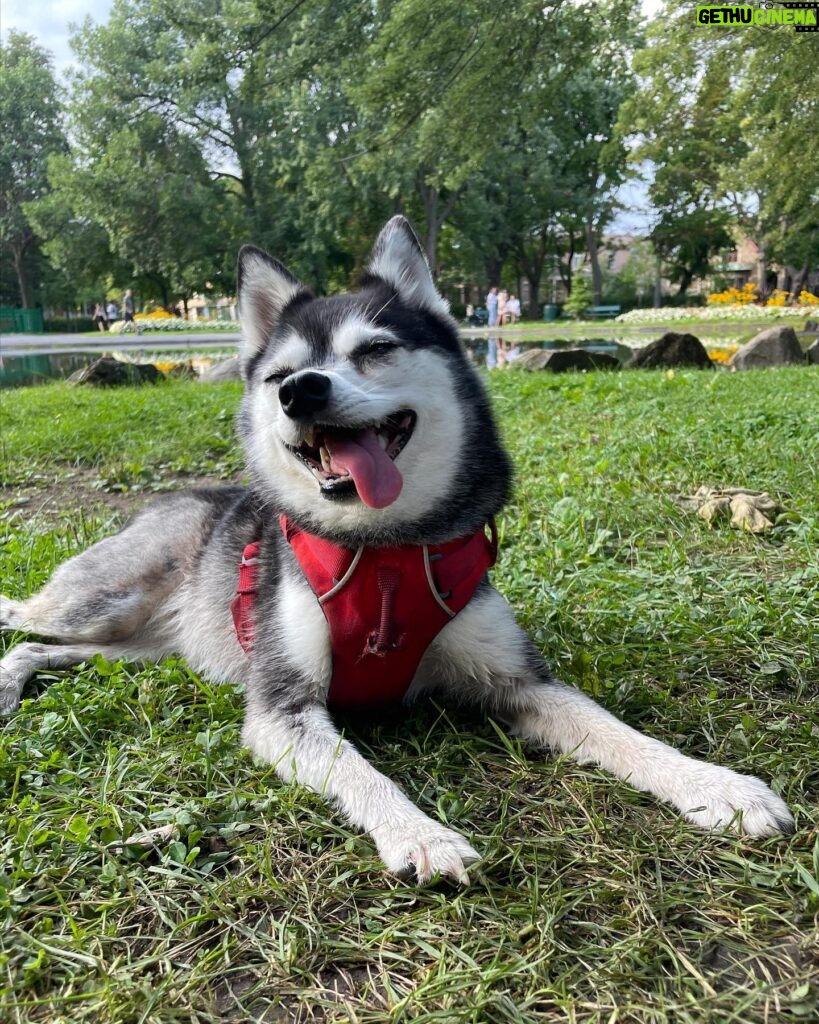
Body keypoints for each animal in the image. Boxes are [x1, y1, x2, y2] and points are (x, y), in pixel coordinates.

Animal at [0, 216, 794, 880]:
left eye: (376, 349)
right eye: (278, 375)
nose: (300, 390)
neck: (382, 549)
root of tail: (177, 498)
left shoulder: (518, 680)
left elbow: (618, 730)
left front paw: (716, 785)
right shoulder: (282, 706)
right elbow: (360, 771)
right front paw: (421, 834)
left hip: (150, 646)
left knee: (45, 646)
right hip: (105, 601)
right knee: (22, 624)